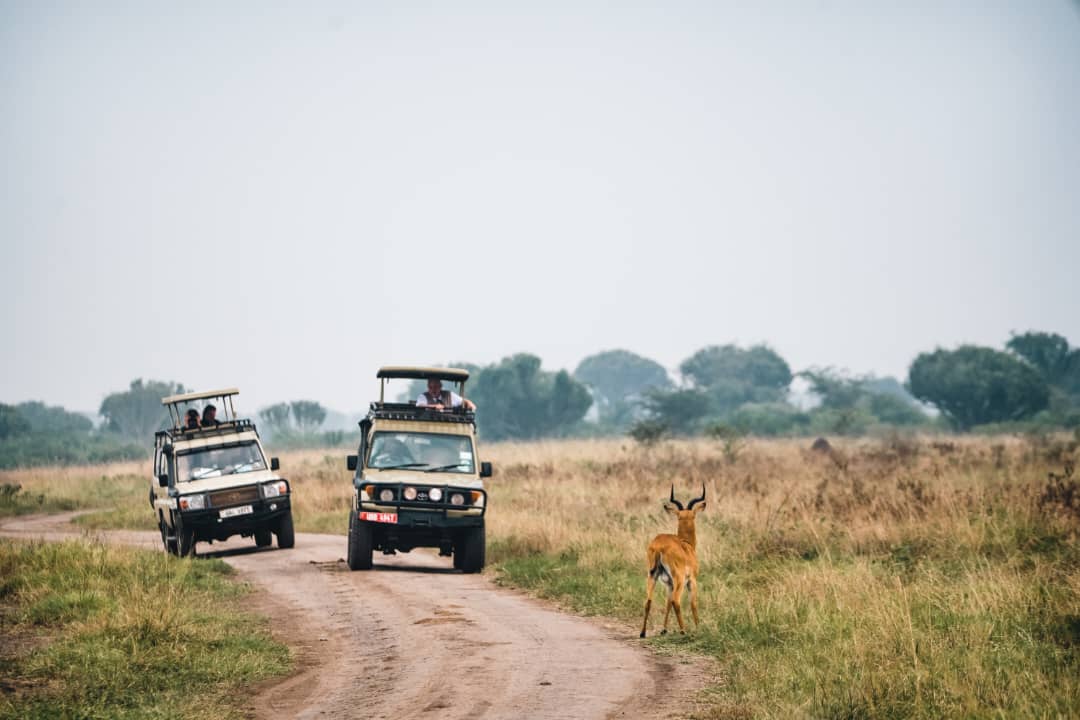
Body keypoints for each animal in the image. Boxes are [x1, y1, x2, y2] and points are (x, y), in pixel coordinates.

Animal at [635, 483, 704, 634]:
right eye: (694, 515)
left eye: (687, 516)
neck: (687, 545)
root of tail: (658, 546)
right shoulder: (692, 580)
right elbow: (693, 603)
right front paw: (699, 627)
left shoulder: (668, 583)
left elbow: (667, 603)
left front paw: (664, 629)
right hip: (679, 579)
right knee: (676, 601)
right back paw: (683, 631)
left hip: (652, 576)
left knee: (648, 601)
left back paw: (642, 633)